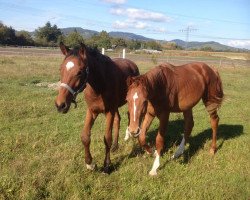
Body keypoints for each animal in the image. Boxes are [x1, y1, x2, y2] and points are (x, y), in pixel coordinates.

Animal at [55, 42, 140, 173]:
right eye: (61, 69)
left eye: (80, 72)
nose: (60, 105)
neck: (100, 85)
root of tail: (132, 64)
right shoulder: (92, 111)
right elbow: (85, 136)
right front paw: (90, 163)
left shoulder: (109, 111)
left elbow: (107, 138)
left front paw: (107, 165)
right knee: (118, 119)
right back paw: (115, 146)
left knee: (130, 115)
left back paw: (130, 135)